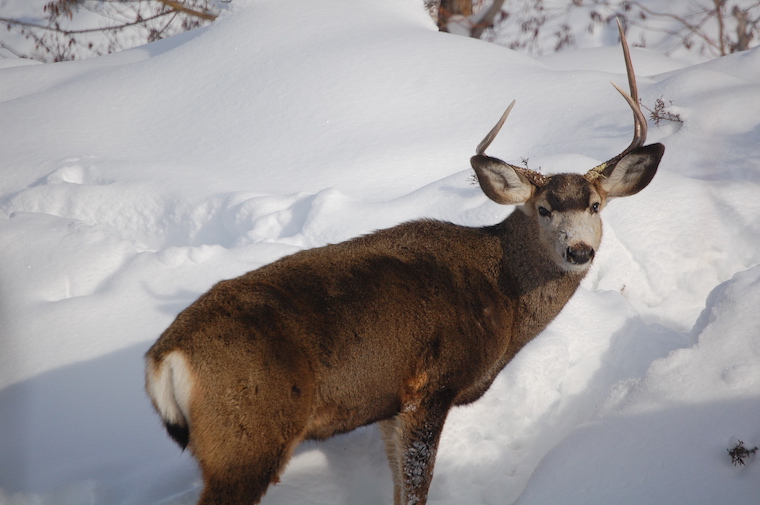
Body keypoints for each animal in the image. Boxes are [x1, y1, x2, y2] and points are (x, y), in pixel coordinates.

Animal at [145, 22, 664, 505]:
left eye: (595, 206)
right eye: (543, 209)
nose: (579, 251)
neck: (503, 300)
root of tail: (163, 358)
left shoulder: (390, 405)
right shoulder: (431, 386)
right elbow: (416, 487)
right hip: (247, 436)